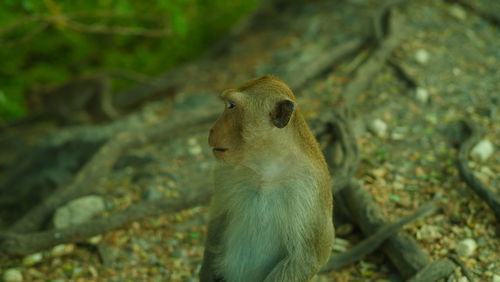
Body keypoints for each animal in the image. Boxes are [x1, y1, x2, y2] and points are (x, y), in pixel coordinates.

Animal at [200, 75, 336, 282]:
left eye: (231, 106)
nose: (212, 130)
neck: (266, 169)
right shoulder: (224, 173)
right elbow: (218, 221)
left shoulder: (310, 188)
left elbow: (306, 258)